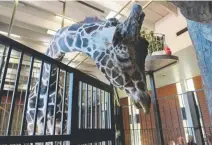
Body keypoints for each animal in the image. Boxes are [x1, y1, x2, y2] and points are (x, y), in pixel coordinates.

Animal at [25, 2, 151, 140]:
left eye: (146, 48)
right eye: (123, 57)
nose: (146, 103)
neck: (46, 86)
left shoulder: (58, 126)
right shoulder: (32, 125)